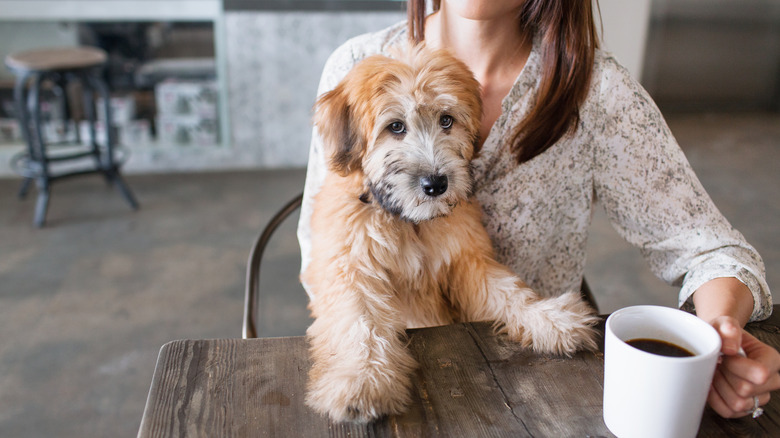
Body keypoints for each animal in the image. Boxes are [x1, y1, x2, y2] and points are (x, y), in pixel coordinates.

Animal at [300, 46, 596, 422]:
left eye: (446, 120)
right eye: (395, 127)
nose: (436, 184)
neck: (409, 222)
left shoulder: (467, 261)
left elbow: (509, 291)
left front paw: (550, 319)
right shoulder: (351, 269)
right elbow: (360, 324)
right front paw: (363, 380)